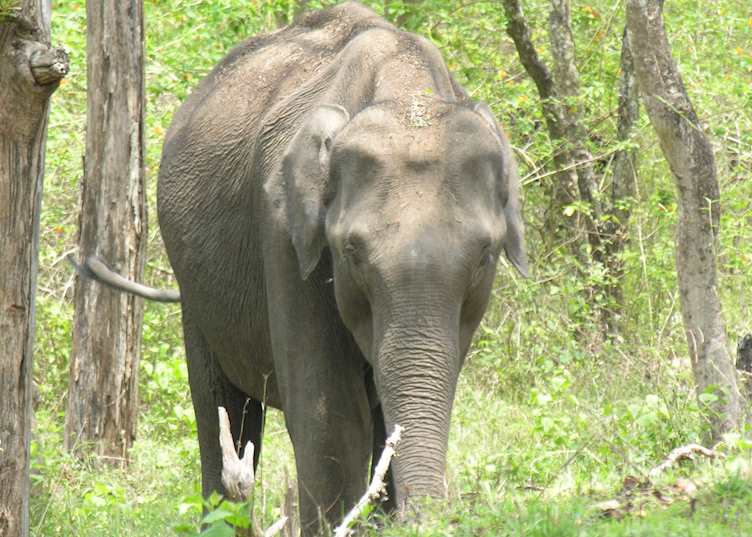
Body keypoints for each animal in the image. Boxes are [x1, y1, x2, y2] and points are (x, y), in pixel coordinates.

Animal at [74, 2, 527, 533]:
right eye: (351, 251)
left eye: (485, 253)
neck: (406, 93)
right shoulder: (284, 235)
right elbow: (330, 413)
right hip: (195, 290)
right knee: (220, 408)